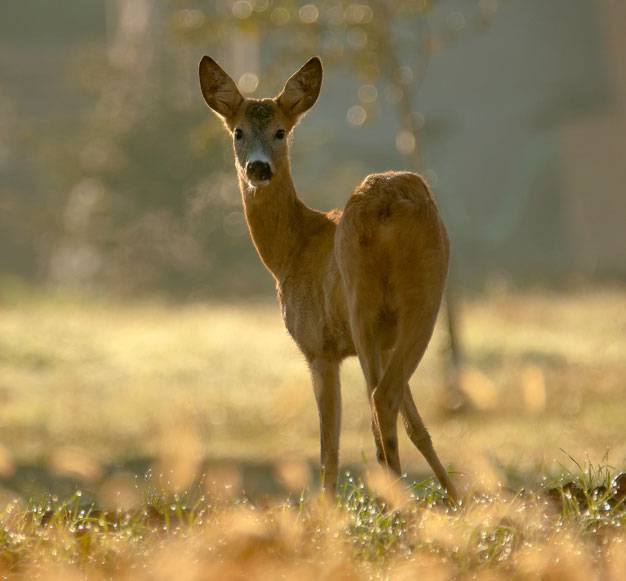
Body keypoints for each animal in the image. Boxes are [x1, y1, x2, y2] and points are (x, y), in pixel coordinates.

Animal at [200, 53, 458, 502]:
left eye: (281, 131)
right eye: (238, 131)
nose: (258, 168)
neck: (291, 252)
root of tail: (389, 204)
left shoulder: (318, 347)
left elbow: (327, 449)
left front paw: (326, 511)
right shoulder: (382, 343)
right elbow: (418, 426)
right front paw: (457, 501)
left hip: (363, 302)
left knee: (379, 400)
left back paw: (397, 503)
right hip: (423, 292)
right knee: (390, 400)